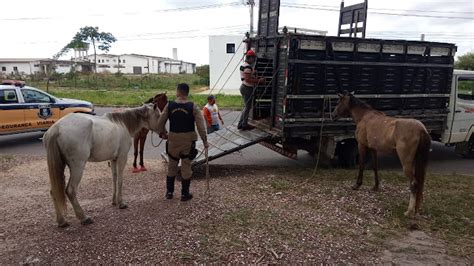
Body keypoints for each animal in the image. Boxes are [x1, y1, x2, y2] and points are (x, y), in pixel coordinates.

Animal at [332, 91, 432, 220]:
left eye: (338, 102)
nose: (333, 115)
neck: (365, 116)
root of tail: (421, 129)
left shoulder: (362, 145)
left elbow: (361, 165)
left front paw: (357, 185)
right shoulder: (374, 149)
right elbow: (375, 167)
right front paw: (375, 186)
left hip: (406, 162)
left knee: (414, 184)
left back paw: (409, 211)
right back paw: (416, 209)